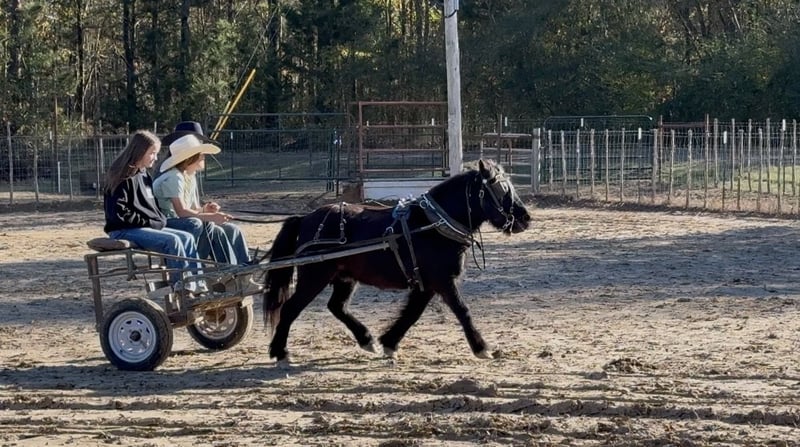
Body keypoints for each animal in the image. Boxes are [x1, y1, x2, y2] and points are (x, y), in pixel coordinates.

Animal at [263, 159, 532, 363]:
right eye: (501, 189)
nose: (525, 218)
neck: (432, 224)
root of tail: (305, 218)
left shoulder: (426, 284)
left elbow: (411, 313)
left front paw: (388, 343)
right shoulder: (443, 281)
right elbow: (462, 311)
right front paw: (481, 348)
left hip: (344, 277)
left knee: (337, 306)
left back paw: (366, 340)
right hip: (314, 276)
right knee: (290, 308)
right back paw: (280, 352)